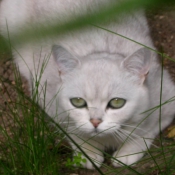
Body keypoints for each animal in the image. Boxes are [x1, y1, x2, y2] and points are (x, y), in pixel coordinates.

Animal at [0, 0, 175, 170]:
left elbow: (144, 133)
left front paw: (126, 154)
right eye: (78, 102)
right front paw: (88, 154)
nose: (95, 121)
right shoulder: (50, 103)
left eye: (117, 102)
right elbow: (75, 134)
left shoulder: (166, 100)